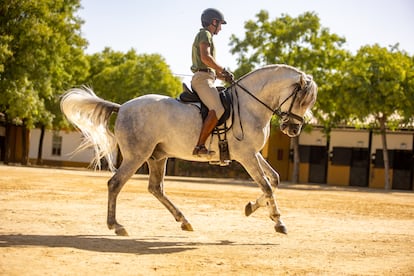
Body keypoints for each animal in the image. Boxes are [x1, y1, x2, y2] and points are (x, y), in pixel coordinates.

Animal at [59, 63, 316, 236]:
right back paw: (116, 226)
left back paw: (183, 220)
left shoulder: (253, 154)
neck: (250, 105)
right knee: (115, 184)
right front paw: (278, 221)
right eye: (302, 100)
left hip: (157, 156)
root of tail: (122, 107)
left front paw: (252, 207)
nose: (293, 129)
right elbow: (267, 185)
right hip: (136, 156)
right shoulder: (246, 156)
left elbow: (274, 180)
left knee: (156, 188)